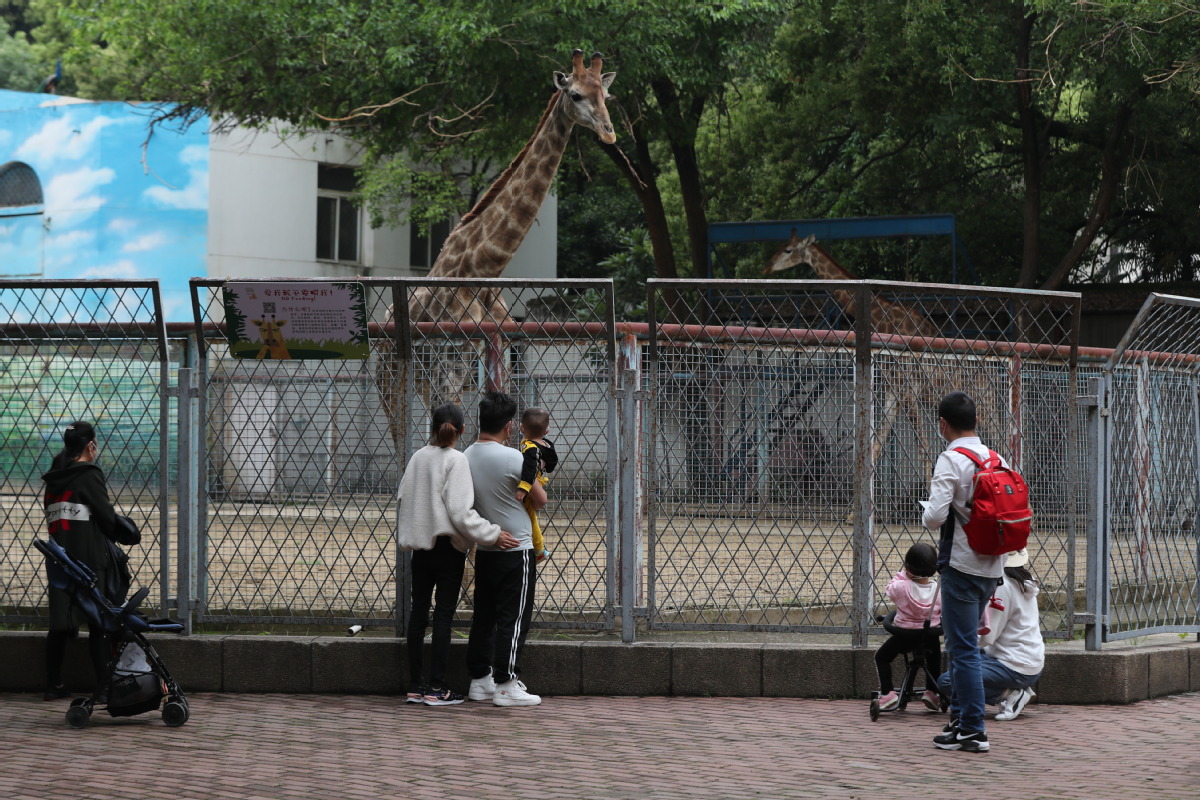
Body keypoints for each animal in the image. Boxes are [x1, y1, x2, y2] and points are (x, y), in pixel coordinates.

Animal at [376, 50, 619, 450]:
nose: (608, 132)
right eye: (576, 95)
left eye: (606, 95)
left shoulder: (498, 356)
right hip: (393, 378)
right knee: (400, 437)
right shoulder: (449, 368)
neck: (483, 266)